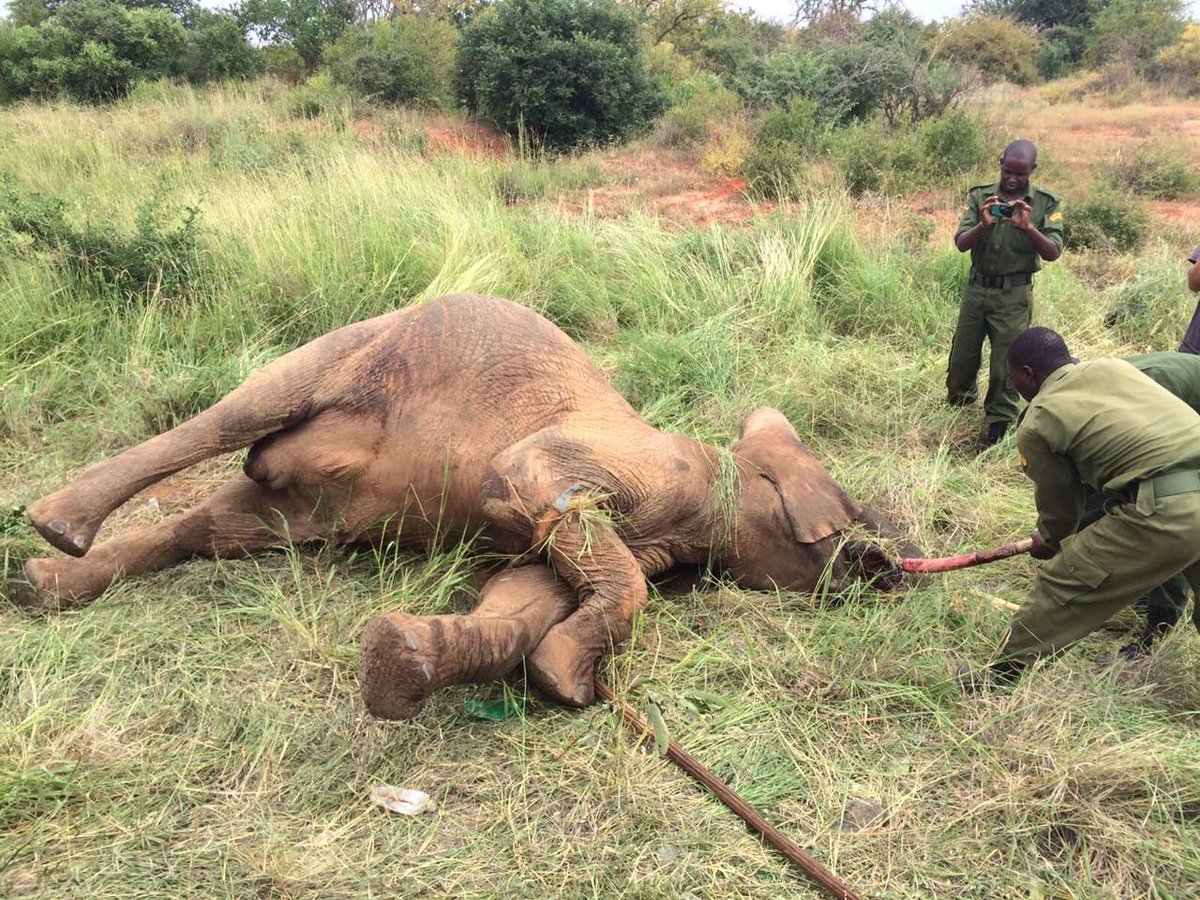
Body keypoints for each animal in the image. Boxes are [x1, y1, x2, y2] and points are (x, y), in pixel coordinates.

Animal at [16, 294, 921, 719]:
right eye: (853, 517)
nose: (898, 567)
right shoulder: (650, 469)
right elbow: (533, 484)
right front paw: (569, 683)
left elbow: (525, 599)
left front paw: (412, 665)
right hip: (351, 346)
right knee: (230, 418)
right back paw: (55, 527)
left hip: (299, 506)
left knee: (213, 525)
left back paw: (42, 586)